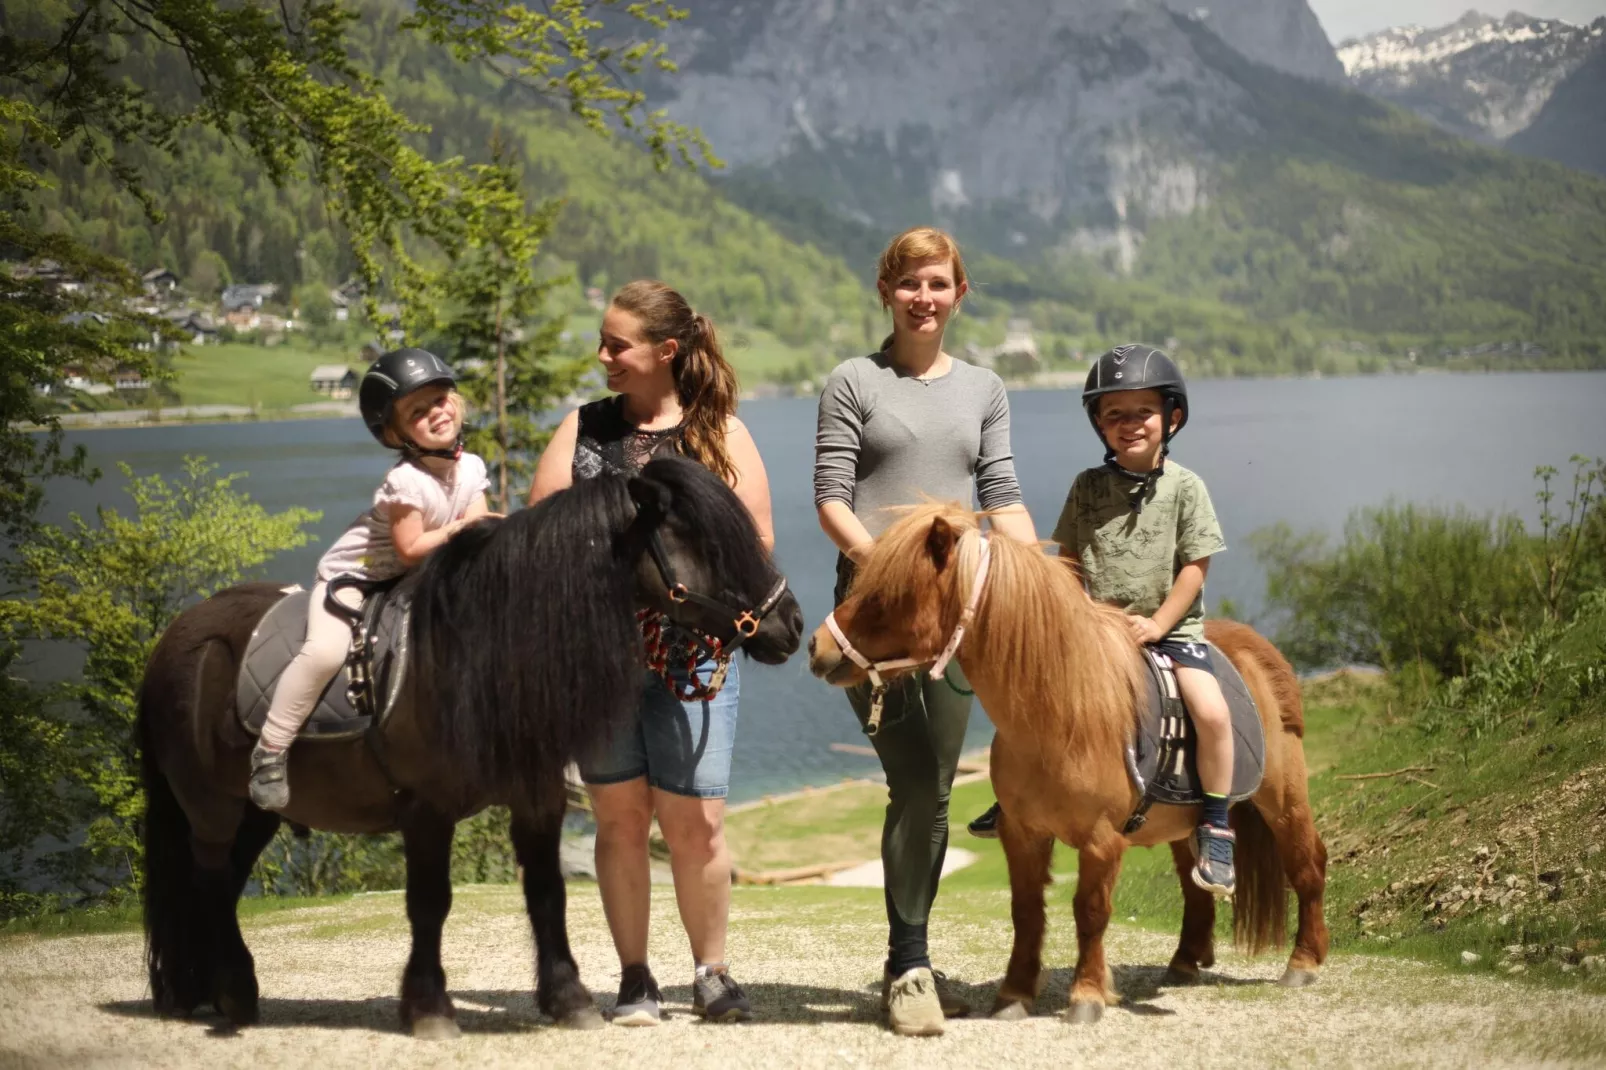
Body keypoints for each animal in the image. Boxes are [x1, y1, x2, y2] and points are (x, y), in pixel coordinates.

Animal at [138, 456, 803, 1034]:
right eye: (709, 547)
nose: (792, 622)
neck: (470, 650)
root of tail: (178, 637)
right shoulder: (425, 811)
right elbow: (430, 903)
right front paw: (430, 1010)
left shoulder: (537, 802)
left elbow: (547, 895)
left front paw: (569, 1000)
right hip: (212, 811)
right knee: (211, 881)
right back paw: (233, 993)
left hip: (254, 816)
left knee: (220, 885)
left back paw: (220, 991)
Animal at [803, 504, 1329, 1021]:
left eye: (885, 597)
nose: (816, 645)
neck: (1063, 712)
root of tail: (1257, 654)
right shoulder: (1022, 834)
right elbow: (1026, 911)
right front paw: (1014, 994)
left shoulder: (1101, 841)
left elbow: (1090, 911)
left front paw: (1087, 996)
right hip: (1183, 820)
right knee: (1193, 883)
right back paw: (1184, 961)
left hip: (1282, 801)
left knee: (1307, 863)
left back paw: (1303, 962)